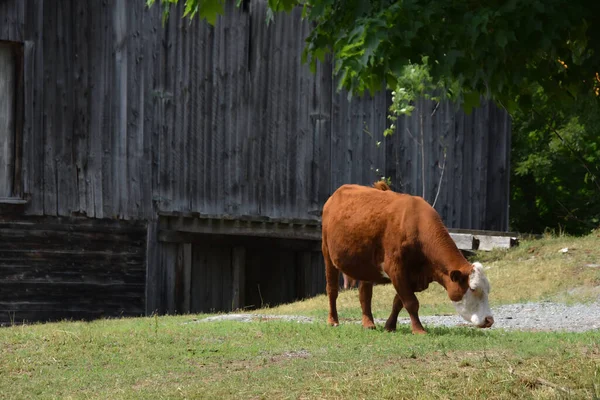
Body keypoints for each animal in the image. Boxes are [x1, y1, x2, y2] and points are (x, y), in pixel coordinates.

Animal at [322, 183, 494, 332]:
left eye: (488, 290)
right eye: (473, 288)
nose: (489, 320)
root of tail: (338, 192)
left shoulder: (414, 276)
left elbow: (398, 302)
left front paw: (390, 326)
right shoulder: (396, 269)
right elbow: (411, 302)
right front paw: (419, 330)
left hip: (366, 266)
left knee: (365, 293)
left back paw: (368, 323)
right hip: (327, 254)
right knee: (332, 289)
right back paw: (333, 321)